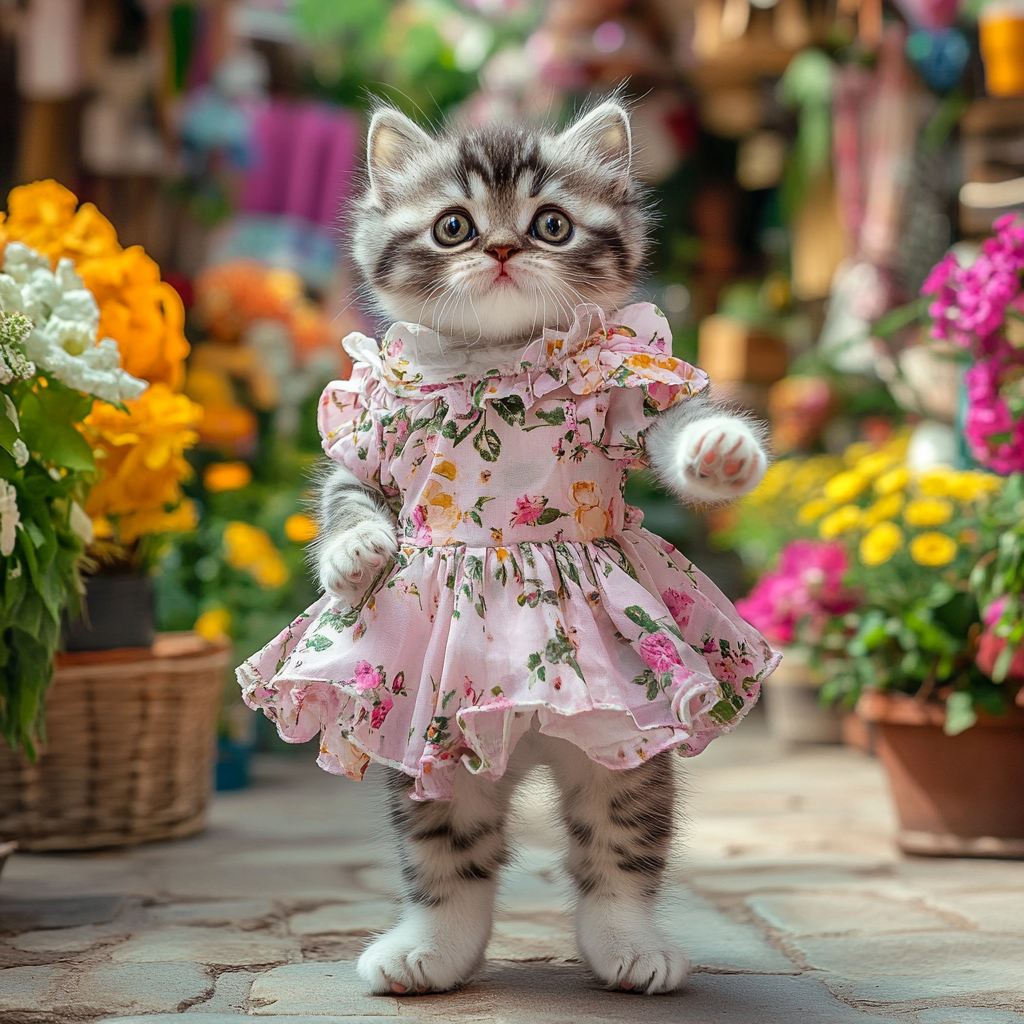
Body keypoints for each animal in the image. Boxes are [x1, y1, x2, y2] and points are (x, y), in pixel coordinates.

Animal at [315, 101, 765, 991]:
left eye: (550, 224)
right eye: (453, 226)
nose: (500, 248)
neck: (498, 362)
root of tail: (519, 741)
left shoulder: (630, 391)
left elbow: (677, 429)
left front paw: (721, 451)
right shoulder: (367, 428)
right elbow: (347, 495)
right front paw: (356, 554)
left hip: (625, 738)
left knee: (618, 841)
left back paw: (628, 944)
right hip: (435, 748)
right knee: (449, 846)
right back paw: (432, 947)